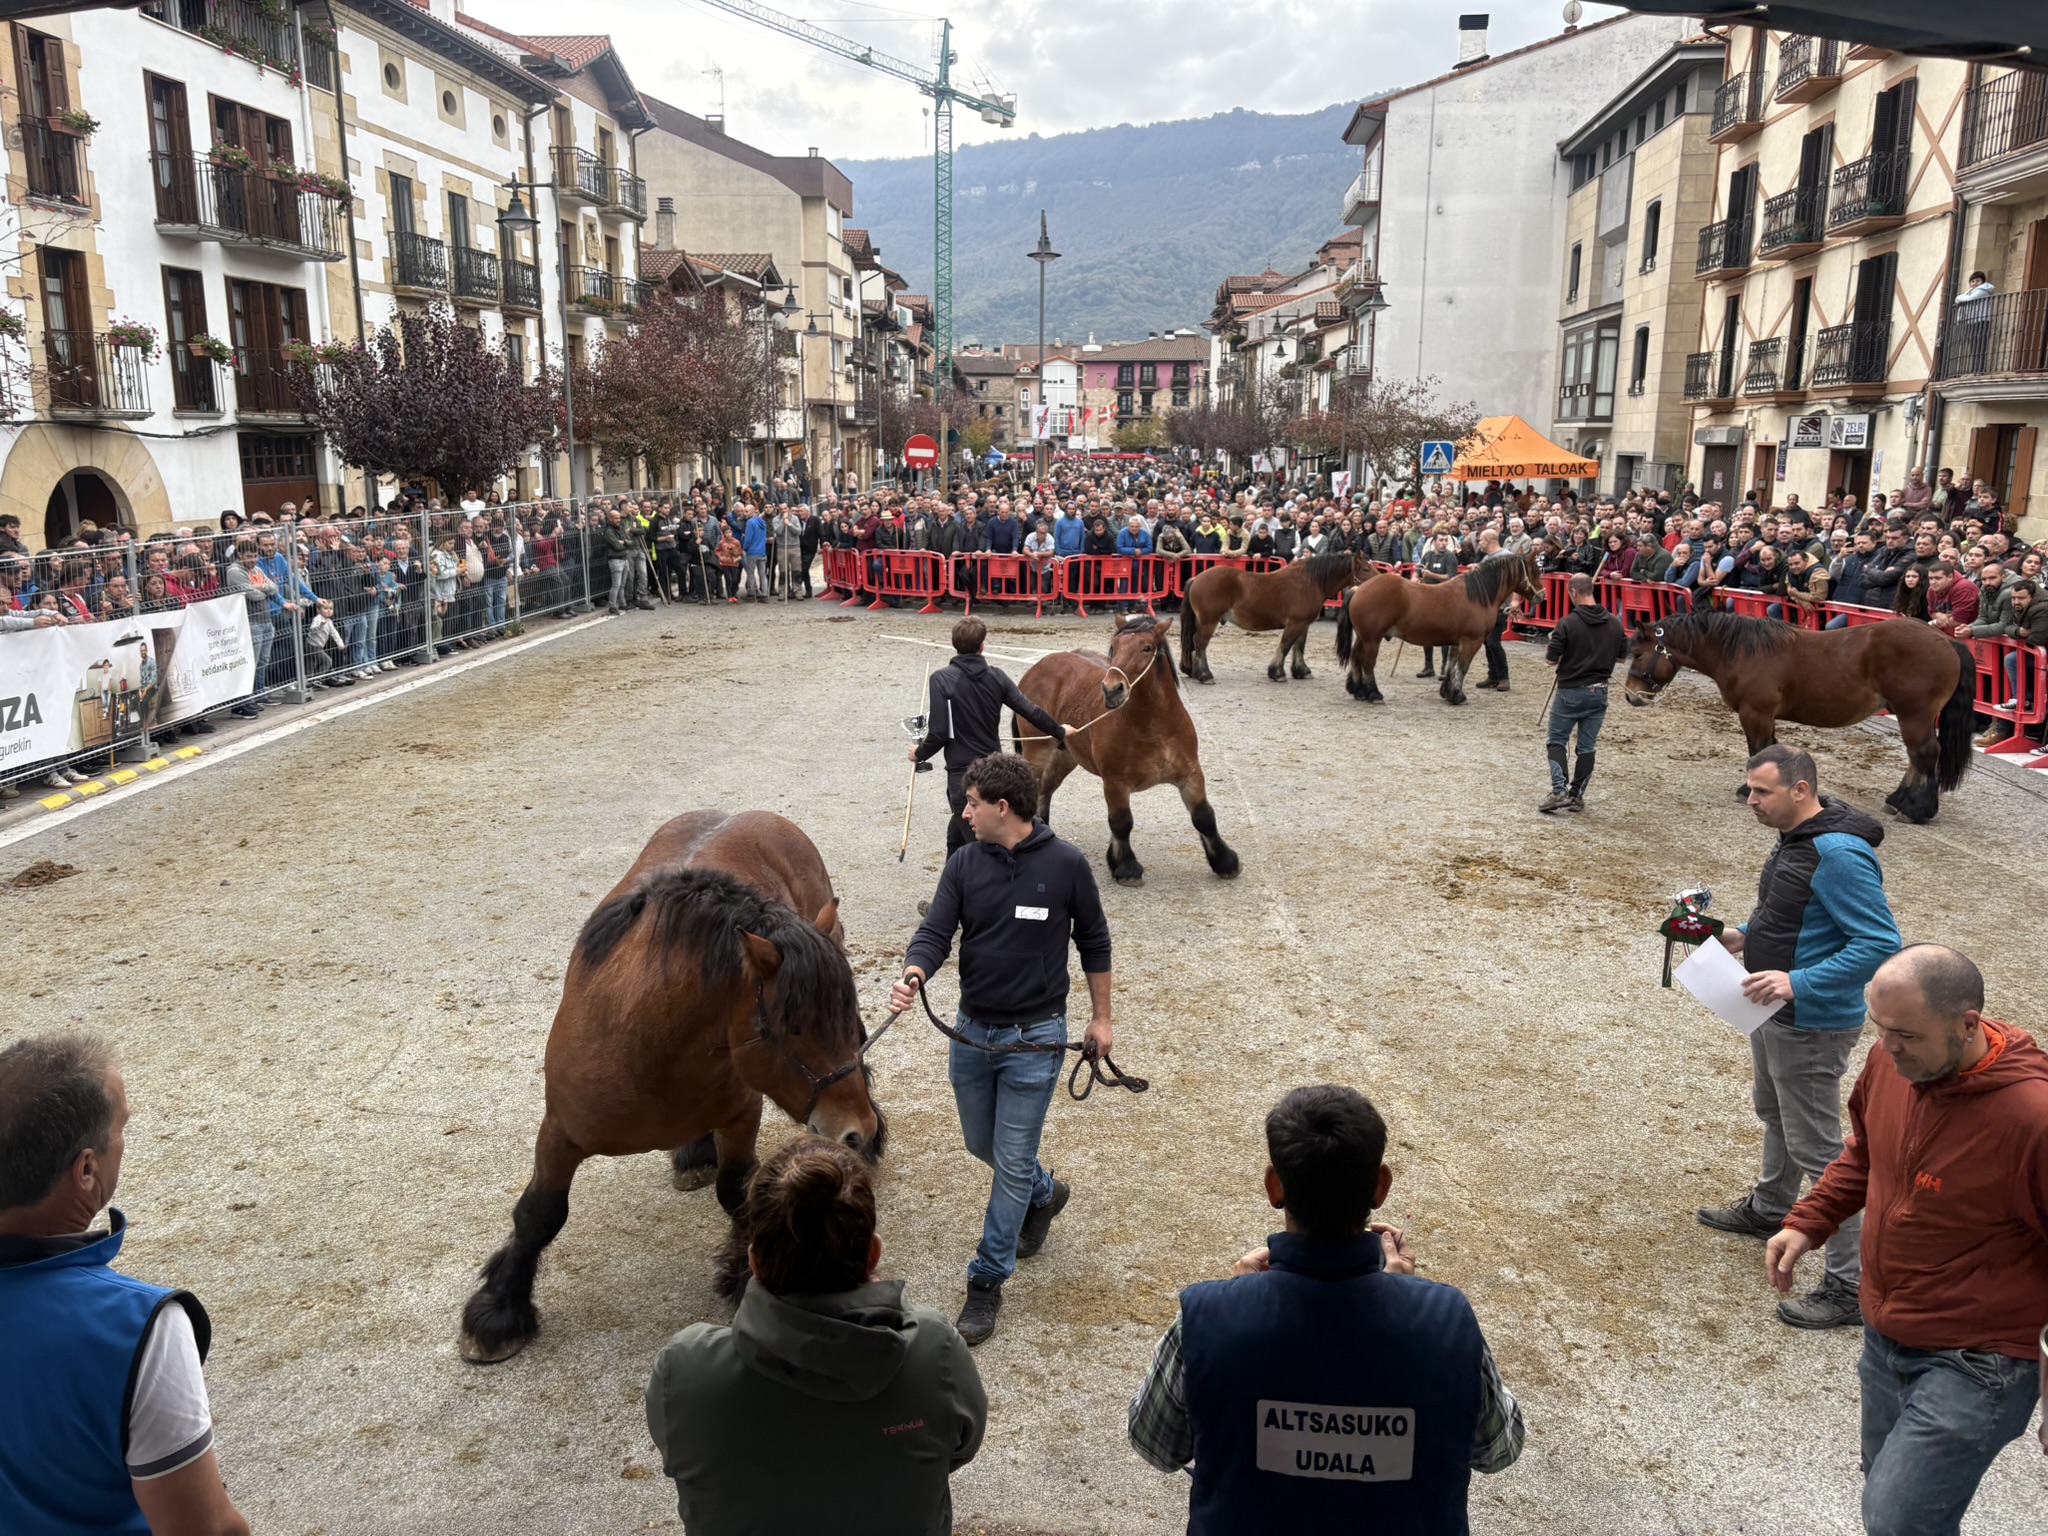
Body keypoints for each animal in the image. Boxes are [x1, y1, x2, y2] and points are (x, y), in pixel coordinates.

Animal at [459, 811, 883, 1364]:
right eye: (793, 1028)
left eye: (844, 1021)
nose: (855, 1131)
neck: (648, 1045)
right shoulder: (560, 1132)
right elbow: (539, 1214)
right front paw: (499, 1309)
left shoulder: (741, 1117)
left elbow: (738, 1193)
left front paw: (745, 1274)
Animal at [1012, 615, 1241, 887]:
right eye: (1115, 647)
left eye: (1147, 648)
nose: (1112, 689)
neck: (1154, 726)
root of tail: (1039, 667)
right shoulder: (1115, 782)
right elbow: (1121, 822)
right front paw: (1126, 867)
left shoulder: (1191, 776)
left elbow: (1203, 816)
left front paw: (1225, 862)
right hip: (1037, 752)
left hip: (1064, 756)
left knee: (1046, 788)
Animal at [1178, 549, 1374, 683]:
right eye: (1365, 569)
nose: (1379, 581)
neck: (1310, 582)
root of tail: (1196, 578)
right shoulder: (1294, 624)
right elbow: (1285, 646)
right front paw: (1277, 673)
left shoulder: (1303, 624)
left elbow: (1299, 647)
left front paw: (1301, 671)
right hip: (1209, 622)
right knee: (1200, 643)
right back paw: (1205, 675)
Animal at [1335, 551, 1543, 704]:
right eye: (1535, 571)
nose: (1542, 595)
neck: (1478, 596)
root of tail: (1359, 589)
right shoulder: (1471, 641)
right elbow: (1462, 667)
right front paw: (1458, 696)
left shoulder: (1457, 642)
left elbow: (1451, 665)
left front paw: (1447, 692)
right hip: (1372, 639)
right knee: (1367, 662)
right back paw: (1374, 694)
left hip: (1363, 637)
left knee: (1355, 657)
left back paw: (1358, 690)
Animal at [1622, 611, 1975, 823]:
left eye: (1638, 654)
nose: (1630, 695)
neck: (1742, 651)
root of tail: (1947, 641)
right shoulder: (1765, 716)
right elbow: (1769, 751)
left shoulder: (1756, 713)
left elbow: (1758, 751)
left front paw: (1749, 791)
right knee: (1916, 757)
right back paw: (1899, 799)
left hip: (1914, 713)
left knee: (1925, 754)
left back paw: (1916, 809)